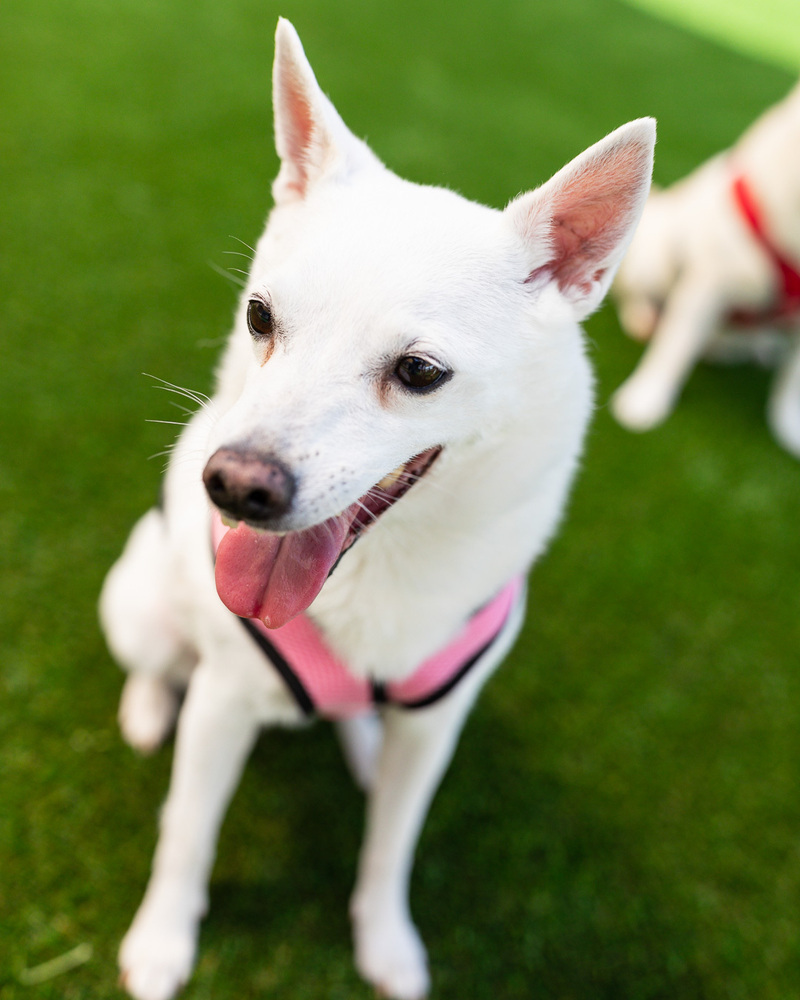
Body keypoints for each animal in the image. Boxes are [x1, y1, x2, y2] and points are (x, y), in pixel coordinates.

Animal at [97, 21, 652, 1000]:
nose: (234, 484)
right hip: (137, 606)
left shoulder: (434, 731)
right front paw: (162, 941)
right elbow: (187, 837)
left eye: (420, 372)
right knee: (160, 662)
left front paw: (385, 941)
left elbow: (393, 850)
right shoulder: (224, 705)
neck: (384, 568)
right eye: (259, 316)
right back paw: (147, 707)